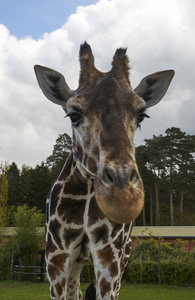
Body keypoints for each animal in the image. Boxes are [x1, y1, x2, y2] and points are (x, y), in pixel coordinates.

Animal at [34, 42, 174, 300]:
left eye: (142, 116)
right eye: (73, 114)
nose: (122, 199)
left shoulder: (110, 255)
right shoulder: (55, 255)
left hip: (123, 257)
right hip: (76, 261)